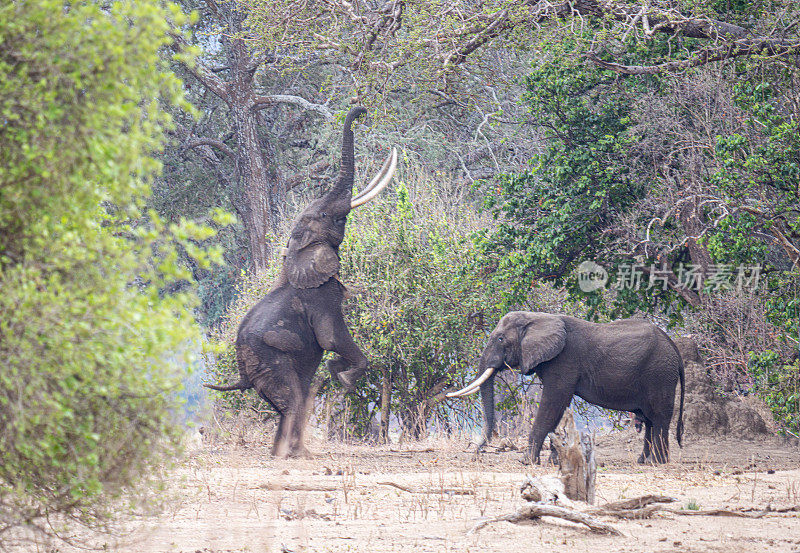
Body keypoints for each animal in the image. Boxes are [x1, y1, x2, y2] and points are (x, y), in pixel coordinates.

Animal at [205, 106, 396, 458]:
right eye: (325, 216)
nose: (362, 110)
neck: (296, 250)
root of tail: (241, 374)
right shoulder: (322, 297)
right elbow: (331, 336)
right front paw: (342, 375)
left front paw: (336, 370)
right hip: (268, 361)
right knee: (294, 398)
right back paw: (294, 455)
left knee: (294, 400)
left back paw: (288, 453)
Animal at [446, 312, 684, 464]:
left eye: (501, 338)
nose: (475, 455)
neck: (538, 318)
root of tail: (673, 345)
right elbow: (558, 407)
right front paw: (553, 461)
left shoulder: (564, 360)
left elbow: (553, 402)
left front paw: (526, 462)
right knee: (650, 419)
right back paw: (644, 461)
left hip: (659, 374)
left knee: (659, 417)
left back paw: (658, 462)